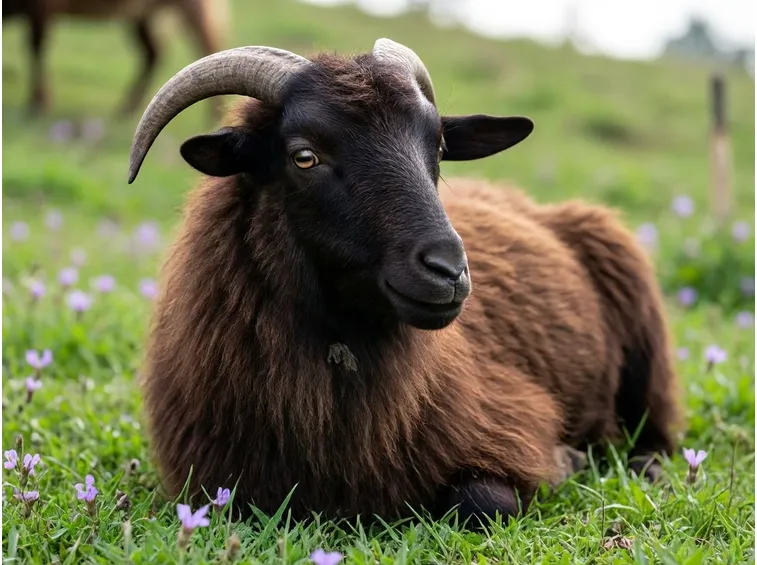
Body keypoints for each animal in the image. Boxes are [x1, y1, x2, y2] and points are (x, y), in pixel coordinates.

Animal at [2, 0, 228, 118]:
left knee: (208, 45)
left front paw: (38, 102)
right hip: (142, 15)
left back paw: (215, 115)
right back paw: (127, 109)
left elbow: (36, 49)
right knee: (153, 53)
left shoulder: (41, 10)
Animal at [126, 38, 683, 527]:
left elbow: (481, 501)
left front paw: (566, 462)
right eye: (305, 156)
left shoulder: (510, 417)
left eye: (436, 145)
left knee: (657, 437)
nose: (449, 269)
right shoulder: (218, 489)